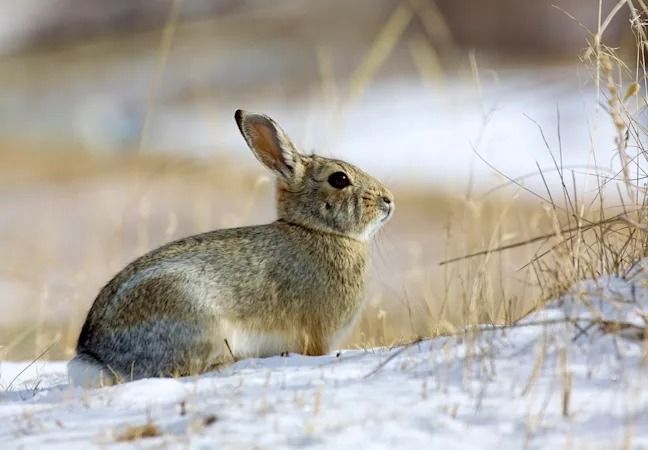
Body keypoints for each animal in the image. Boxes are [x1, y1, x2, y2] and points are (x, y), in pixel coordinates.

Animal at [71, 110, 394, 386]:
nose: (388, 200)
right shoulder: (317, 335)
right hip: (197, 320)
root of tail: (96, 358)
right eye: (339, 179)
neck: (317, 230)